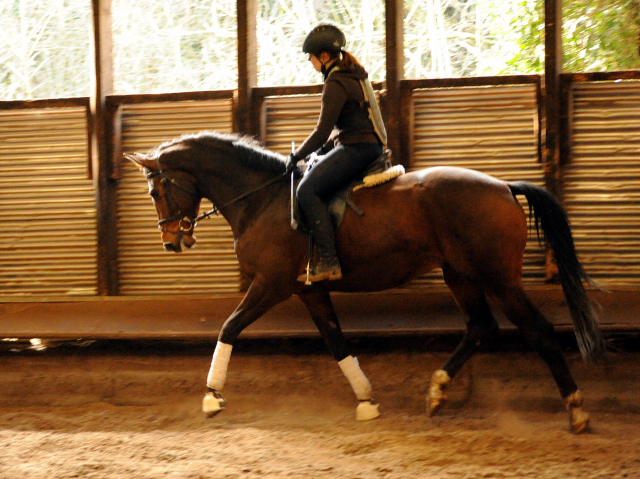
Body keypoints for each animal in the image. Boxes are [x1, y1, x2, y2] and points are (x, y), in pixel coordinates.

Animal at [124, 131, 604, 436]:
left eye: (155, 192)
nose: (172, 242)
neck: (262, 198)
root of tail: (503, 186)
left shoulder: (272, 283)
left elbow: (229, 327)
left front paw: (211, 396)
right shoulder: (310, 290)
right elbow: (337, 343)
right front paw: (367, 402)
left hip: (498, 277)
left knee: (538, 331)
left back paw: (577, 411)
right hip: (461, 274)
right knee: (480, 327)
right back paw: (436, 391)